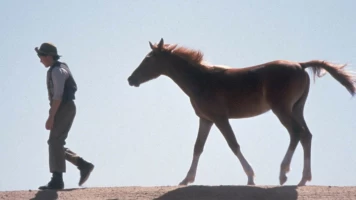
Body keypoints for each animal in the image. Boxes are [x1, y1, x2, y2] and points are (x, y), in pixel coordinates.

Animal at [128, 38, 356, 187]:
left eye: (148, 59)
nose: (131, 79)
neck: (201, 80)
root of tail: (300, 65)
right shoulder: (206, 120)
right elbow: (197, 147)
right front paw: (186, 179)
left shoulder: (220, 118)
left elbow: (233, 144)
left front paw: (251, 177)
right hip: (297, 108)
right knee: (306, 135)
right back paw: (303, 178)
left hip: (282, 109)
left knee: (296, 133)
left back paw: (283, 174)